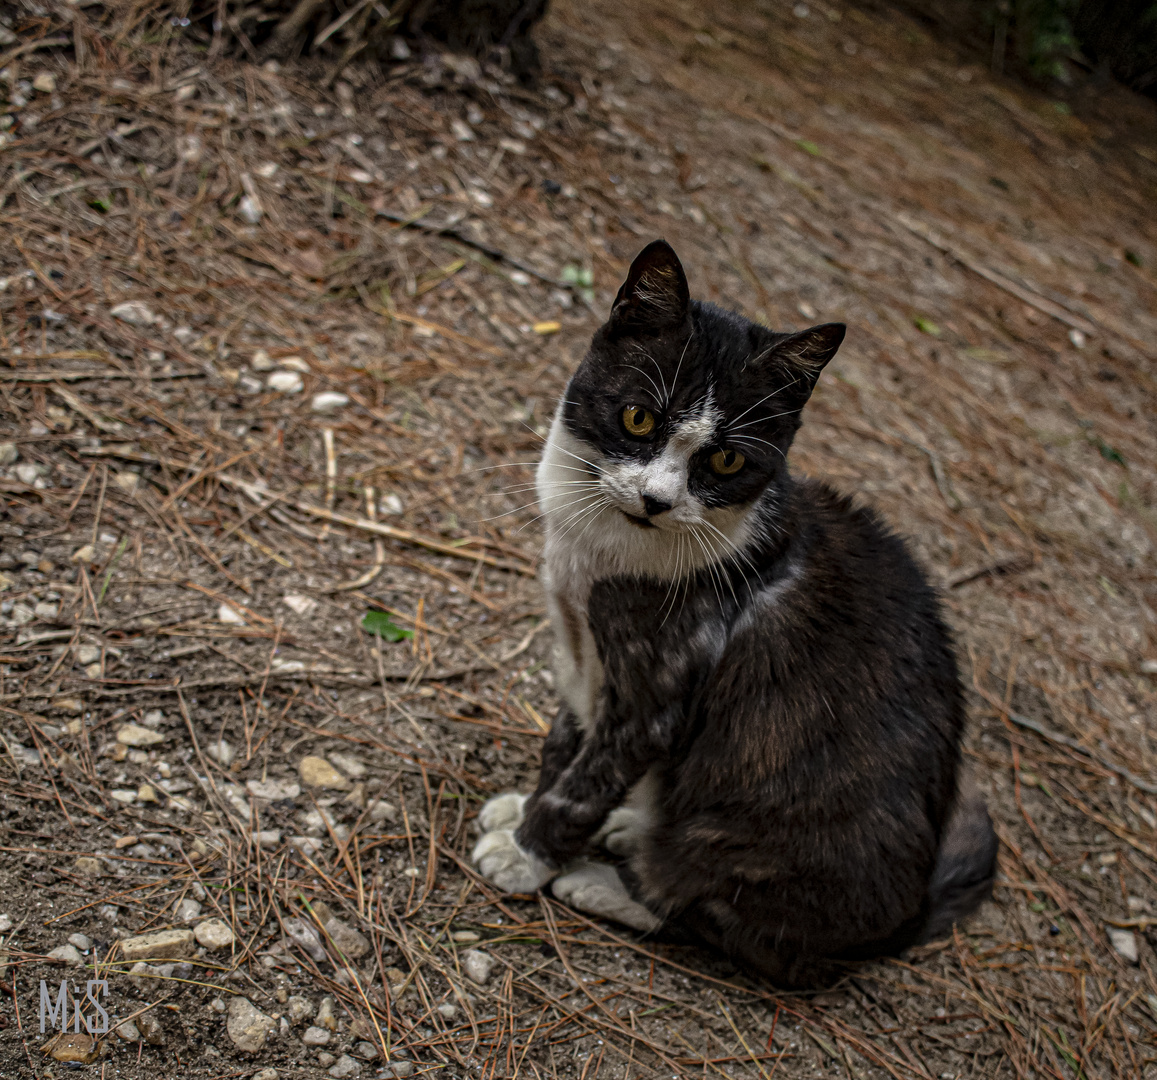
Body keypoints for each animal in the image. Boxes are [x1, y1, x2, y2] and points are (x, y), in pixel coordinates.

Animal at [469, 240, 995, 981]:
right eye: (638, 418)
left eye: (724, 460)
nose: (657, 500)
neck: (600, 552)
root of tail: (907, 918)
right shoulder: (580, 661)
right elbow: (564, 746)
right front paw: (523, 811)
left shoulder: (651, 697)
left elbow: (585, 782)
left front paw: (529, 852)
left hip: (741, 835)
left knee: (700, 915)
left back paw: (611, 876)